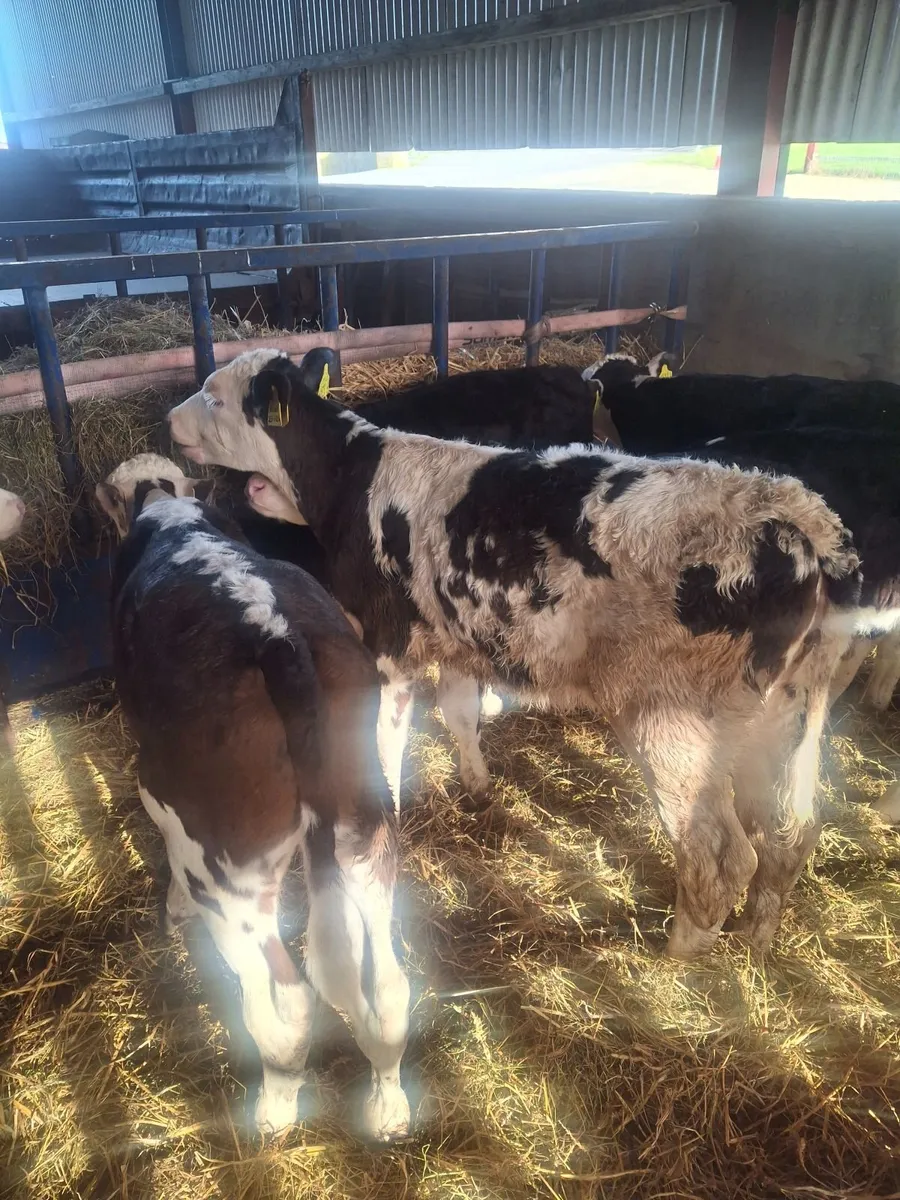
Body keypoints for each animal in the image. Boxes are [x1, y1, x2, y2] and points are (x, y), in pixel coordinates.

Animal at [95, 453, 410, 1139]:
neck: (167, 509)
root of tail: (274, 633)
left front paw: (172, 910)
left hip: (232, 877)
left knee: (286, 1000)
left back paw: (274, 1110)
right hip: (364, 832)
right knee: (388, 987)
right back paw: (388, 1108)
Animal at [167, 348, 862, 960]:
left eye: (215, 395)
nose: (171, 419)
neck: (351, 480)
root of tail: (802, 521)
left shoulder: (387, 643)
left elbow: (385, 739)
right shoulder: (454, 635)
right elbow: (459, 712)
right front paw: (477, 786)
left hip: (673, 720)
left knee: (720, 851)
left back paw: (682, 953)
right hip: (788, 712)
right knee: (790, 829)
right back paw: (756, 938)